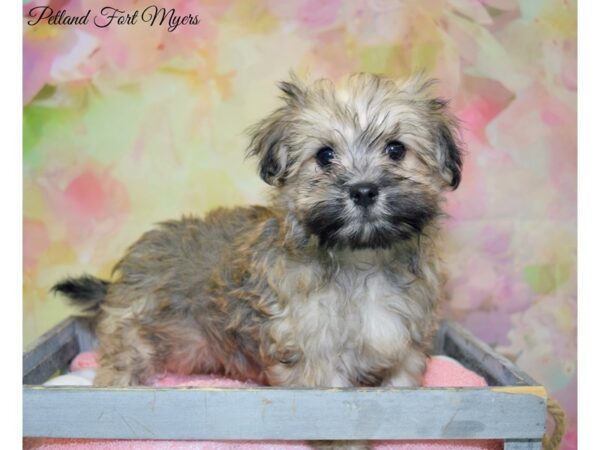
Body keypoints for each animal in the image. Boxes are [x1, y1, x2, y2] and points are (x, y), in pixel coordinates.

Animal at [54, 72, 462, 392]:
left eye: (396, 149)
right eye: (325, 156)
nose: (363, 190)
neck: (361, 260)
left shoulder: (405, 346)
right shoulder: (313, 356)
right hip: (132, 338)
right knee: (120, 365)